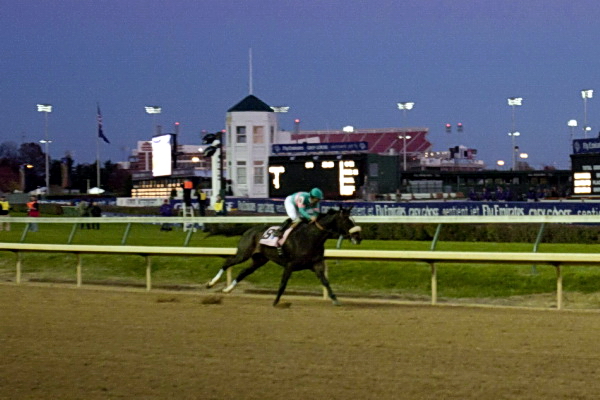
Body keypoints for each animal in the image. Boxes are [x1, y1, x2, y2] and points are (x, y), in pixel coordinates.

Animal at [206, 206, 362, 306]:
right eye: (347, 221)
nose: (358, 237)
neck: (310, 237)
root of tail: (249, 230)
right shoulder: (290, 265)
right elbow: (283, 284)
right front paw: (275, 302)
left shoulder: (316, 264)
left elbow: (325, 282)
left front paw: (335, 299)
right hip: (243, 253)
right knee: (228, 262)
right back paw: (211, 283)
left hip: (259, 260)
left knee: (244, 272)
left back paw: (227, 289)